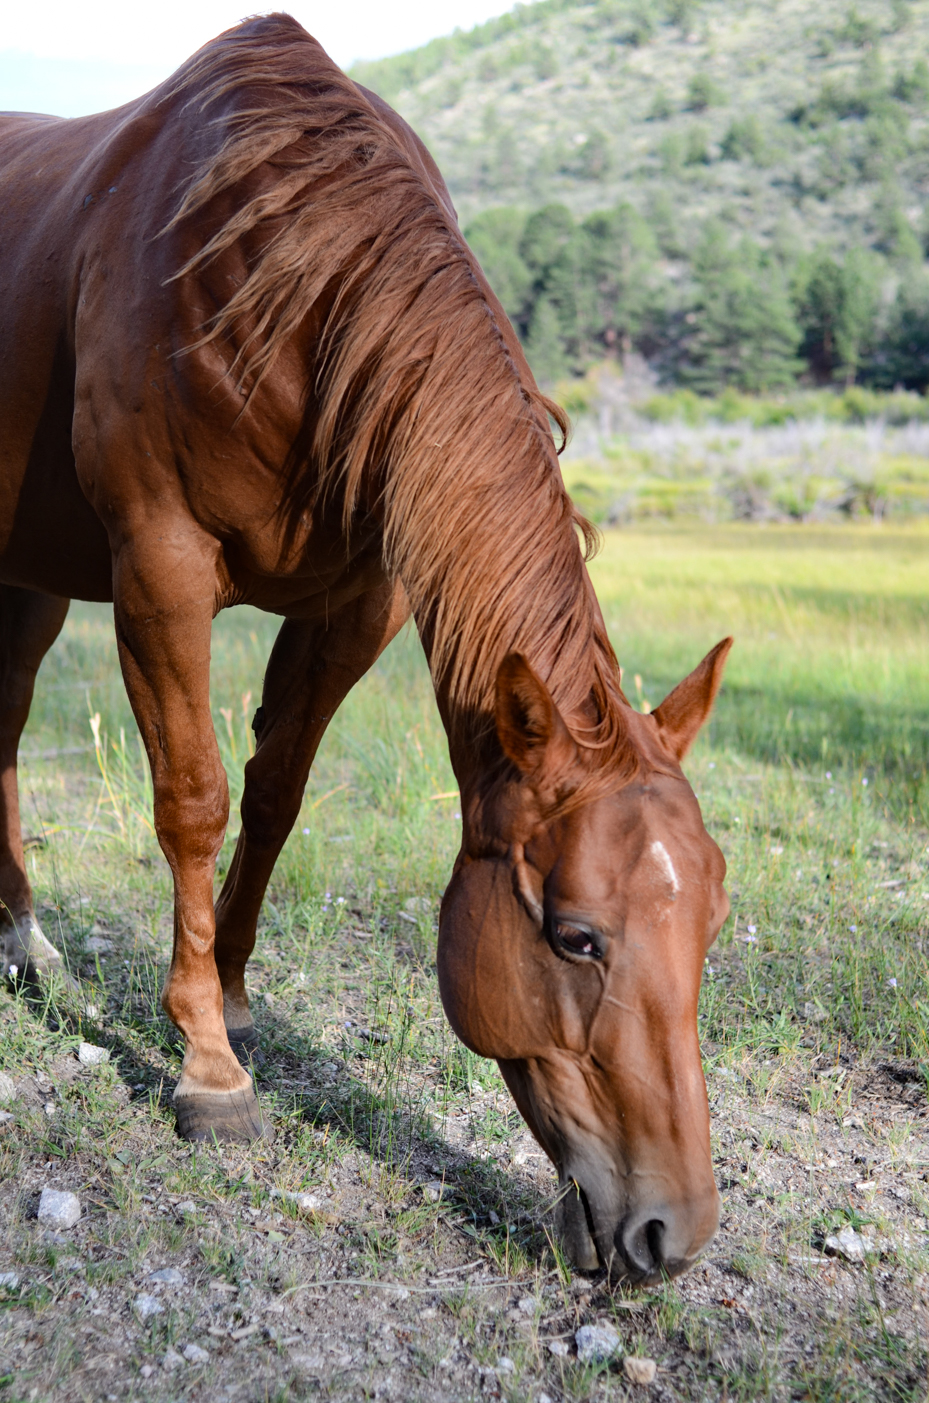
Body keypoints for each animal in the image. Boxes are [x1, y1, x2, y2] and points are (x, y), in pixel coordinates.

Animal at [0, 13, 735, 1285]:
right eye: (577, 937)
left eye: (711, 917)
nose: (669, 1232)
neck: (275, 285)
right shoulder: (159, 571)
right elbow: (192, 800)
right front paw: (206, 1067)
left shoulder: (360, 600)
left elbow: (275, 795)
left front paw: (233, 994)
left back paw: (28, 941)